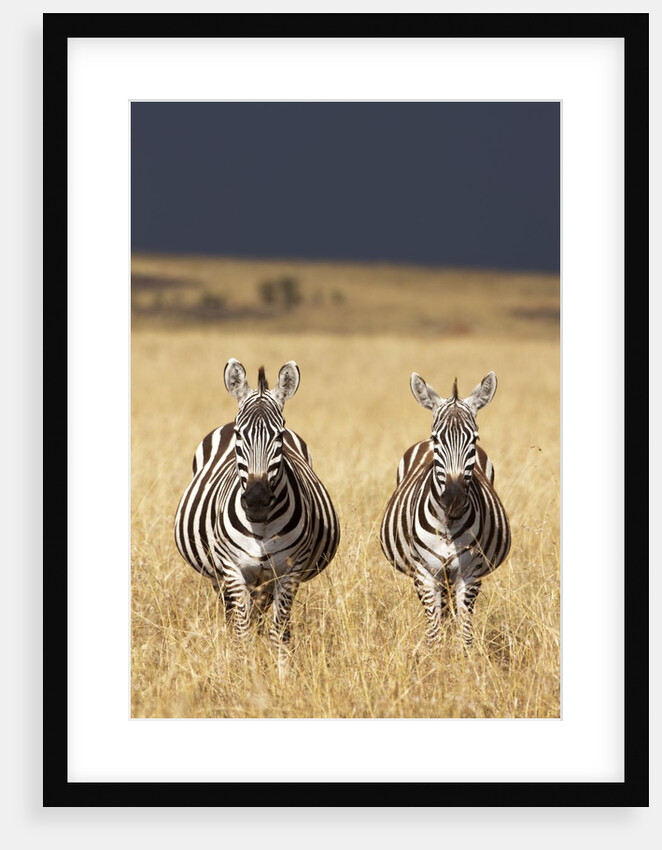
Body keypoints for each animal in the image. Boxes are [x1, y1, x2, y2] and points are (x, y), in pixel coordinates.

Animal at [174, 358, 340, 659]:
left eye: (279, 436)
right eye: (239, 435)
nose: (257, 500)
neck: (261, 526)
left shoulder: (290, 571)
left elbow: (280, 633)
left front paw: (280, 669)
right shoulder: (231, 569)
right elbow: (241, 633)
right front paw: (242, 668)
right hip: (220, 575)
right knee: (234, 616)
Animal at [380, 370, 511, 646]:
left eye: (474, 439)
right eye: (436, 439)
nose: (454, 499)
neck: (448, 523)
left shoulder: (470, 575)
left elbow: (466, 633)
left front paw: (462, 656)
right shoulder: (425, 574)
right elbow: (433, 633)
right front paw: (436, 656)